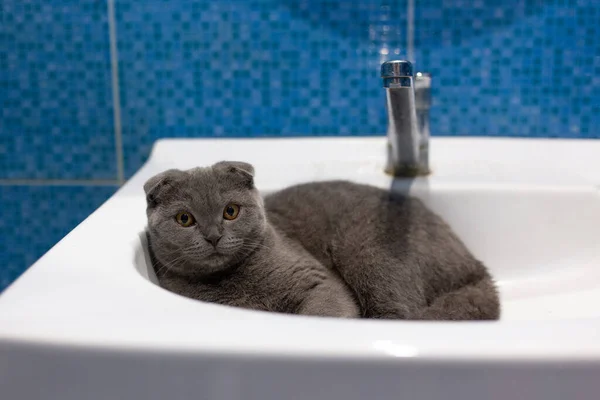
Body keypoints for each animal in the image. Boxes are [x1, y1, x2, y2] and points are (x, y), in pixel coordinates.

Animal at [146, 161, 502, 320]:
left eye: (230, 211)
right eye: (184, 219)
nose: (213, 236)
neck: (231, 282)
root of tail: (475, 267)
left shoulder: (316, 279)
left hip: (369, 254)